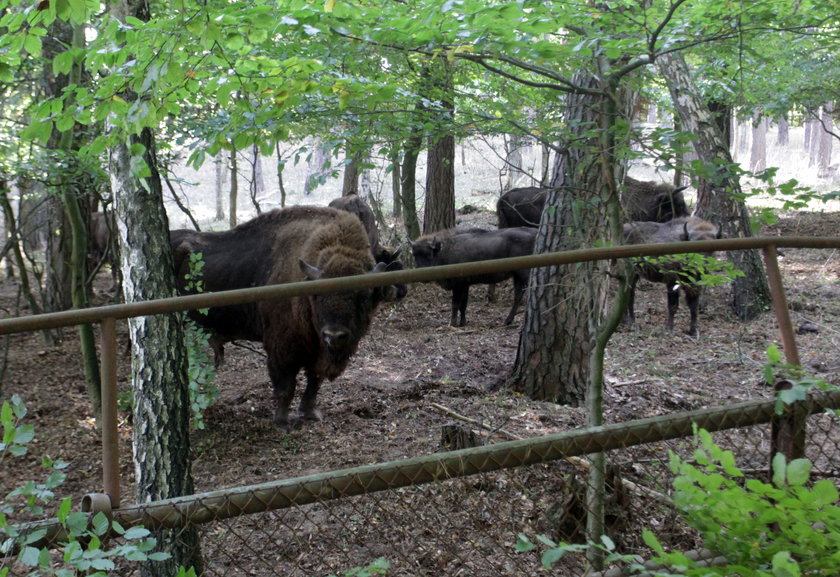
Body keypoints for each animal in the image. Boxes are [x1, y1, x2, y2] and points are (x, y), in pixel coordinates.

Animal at [173, 206, 394, 428]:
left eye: (363, 295)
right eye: (317, 294)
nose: (334, 335)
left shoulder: (317, 352)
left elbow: (314, 381)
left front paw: (310, 413)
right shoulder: (282, 350)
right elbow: (287, 386)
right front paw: (281, 422)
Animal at [408, 226, 540, 326]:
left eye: (429, 254)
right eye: (414, 255)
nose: (421, 273)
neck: (446, 250)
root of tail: (535, 233)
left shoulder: (458, 284)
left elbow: (455, 304)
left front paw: (452, 323)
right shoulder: (465, 285)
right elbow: (463, 305)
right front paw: (462, 323)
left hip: (524, 273)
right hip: (516, 275)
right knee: (518, 295)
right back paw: (508, 320)